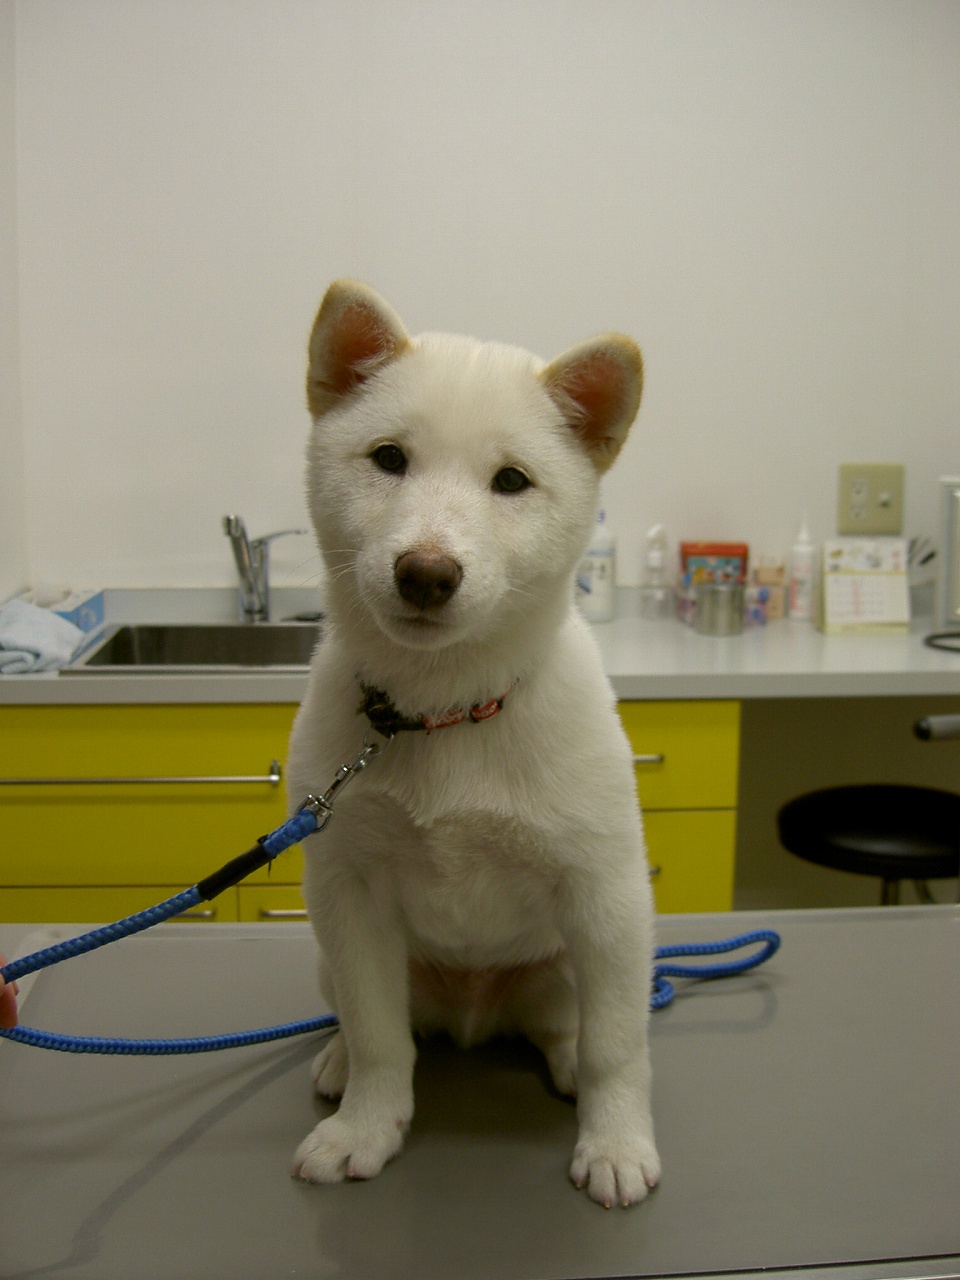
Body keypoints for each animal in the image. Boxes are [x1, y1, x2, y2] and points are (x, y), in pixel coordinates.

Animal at [286, 280, 660, 1207]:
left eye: (512, 481)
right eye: (388, 459)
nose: (426, 572)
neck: (444, 712)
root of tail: (472, 1011)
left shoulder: (608, 896)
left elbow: (618, 1047)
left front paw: (616, 1140)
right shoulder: (348, 892)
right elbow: (381, 1036)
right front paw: (365, 1126)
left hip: (572, 964)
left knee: (574, 1025)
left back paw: (565, 1061)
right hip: (331, 953)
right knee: (374, 1018)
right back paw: (339, 1062)